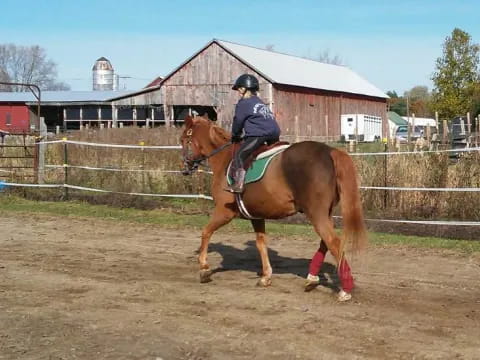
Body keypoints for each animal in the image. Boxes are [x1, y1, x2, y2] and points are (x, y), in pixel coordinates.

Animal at [181, 114, 368, 300]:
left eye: (184, 139)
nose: (185, 168)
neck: (225, 159)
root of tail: (329, 151)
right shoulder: (256, 215)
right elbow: (261, 243)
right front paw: (266, 276)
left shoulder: (224, 211)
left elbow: (206, 232)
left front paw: (204, 268)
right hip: (324, 213)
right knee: (326, 242)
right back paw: (312, 279)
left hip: (316, 213)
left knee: (333, 242)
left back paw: (345, 289)